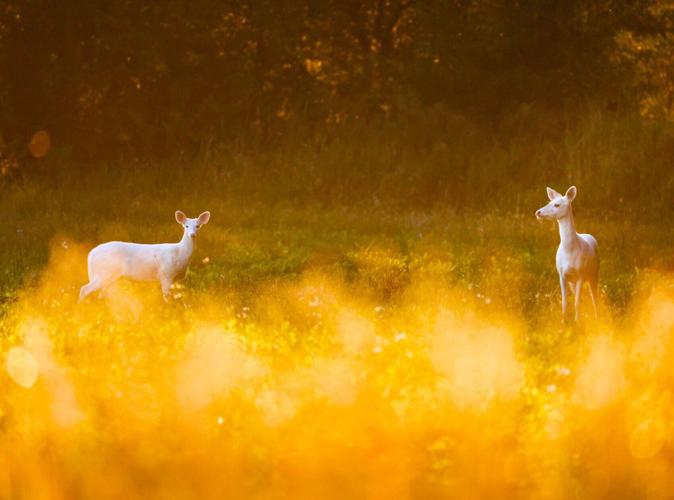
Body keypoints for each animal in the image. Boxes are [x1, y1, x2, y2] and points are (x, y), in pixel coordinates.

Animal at [79, 211, 210, 302]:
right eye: (186, 226)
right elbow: (166, 297)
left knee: (102, 294)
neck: (180, 253)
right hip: (104, 272)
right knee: (85, 289)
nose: (192, 235)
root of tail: (91, 254)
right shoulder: (165, 274)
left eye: (198, 226)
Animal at [535, 186, 598, 321]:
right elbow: (565, 302)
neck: (570, 251)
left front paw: (577, 322)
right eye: (549, 202)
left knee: (594, 298)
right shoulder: (561, 275)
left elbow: (576, 303)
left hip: (594, 273)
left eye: (557, 205)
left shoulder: (581, 274)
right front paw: (563, 322)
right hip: (572, 282)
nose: (538, 212)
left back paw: (597, 318)